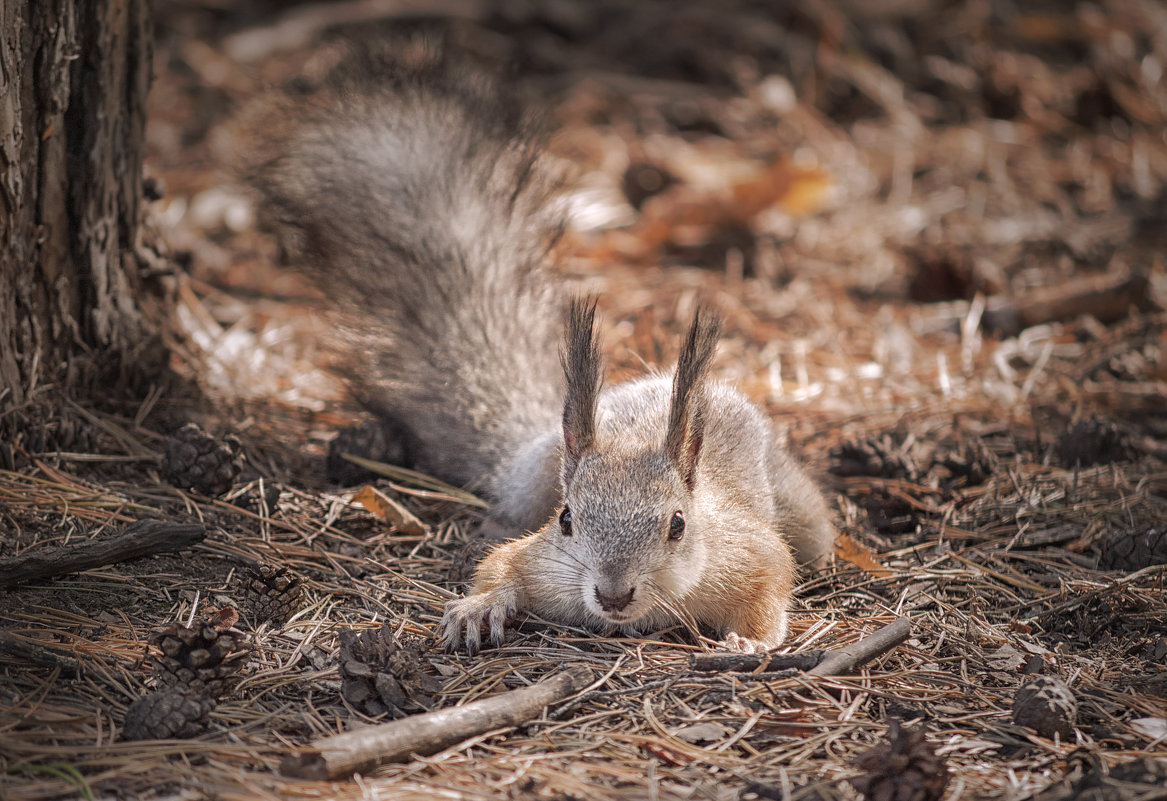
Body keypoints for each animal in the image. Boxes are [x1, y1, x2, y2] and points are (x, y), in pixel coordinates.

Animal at [246, 37, 835, 653]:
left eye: (678, 524)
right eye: (567, 519)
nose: (611, 595)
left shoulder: (746, 555)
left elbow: (772, 583)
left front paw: (752, 643)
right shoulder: (545, 561)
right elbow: (502, 565)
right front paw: (478, 606)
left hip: (802, 512)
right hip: (535, 470)